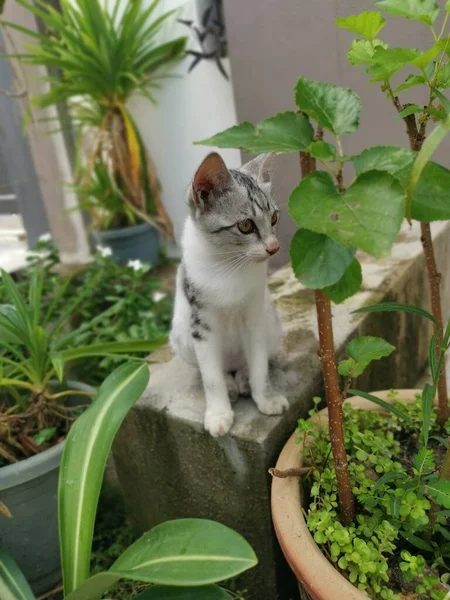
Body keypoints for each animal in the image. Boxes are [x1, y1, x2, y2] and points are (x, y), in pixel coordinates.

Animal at [169, 151, 288, 436]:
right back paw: (231, 384)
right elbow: (211, 377)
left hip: (271, 323)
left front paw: (265, 398)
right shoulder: (201, 324)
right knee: (216, 370)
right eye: (245, 226)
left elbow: (260, 366)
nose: (274, 247)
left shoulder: (255, 315)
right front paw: (218, 414)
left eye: (274, 218)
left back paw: (243, 379)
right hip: (181, 335)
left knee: (250, 362)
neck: (230, 266)